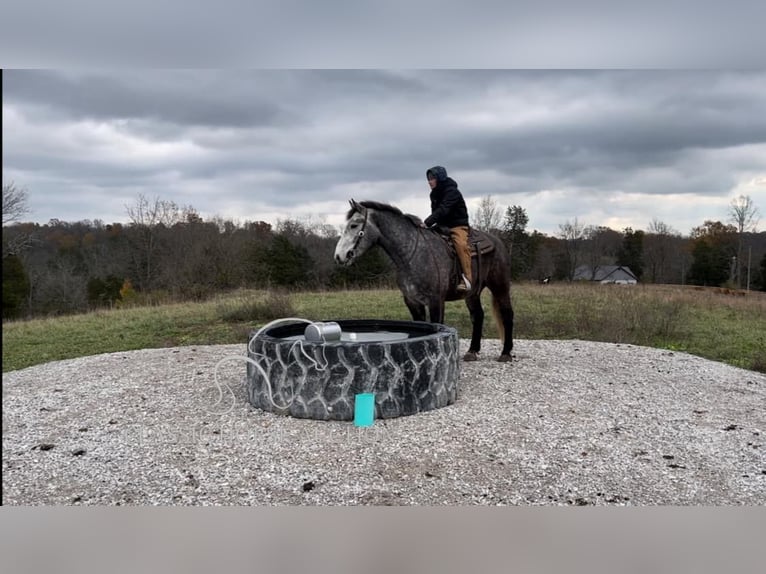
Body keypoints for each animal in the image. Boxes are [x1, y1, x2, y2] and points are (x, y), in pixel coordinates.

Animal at [332, 202, 516, 362]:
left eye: (354, 225)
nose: (339, 256)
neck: (412, 254)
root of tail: (497, 242)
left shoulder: (436, 301)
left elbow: (436, 326)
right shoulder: (412, 301)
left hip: (500, 286)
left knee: (507, 314)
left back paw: (506, 353)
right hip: (471, 293)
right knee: (477, 316)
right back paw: (472, 351)